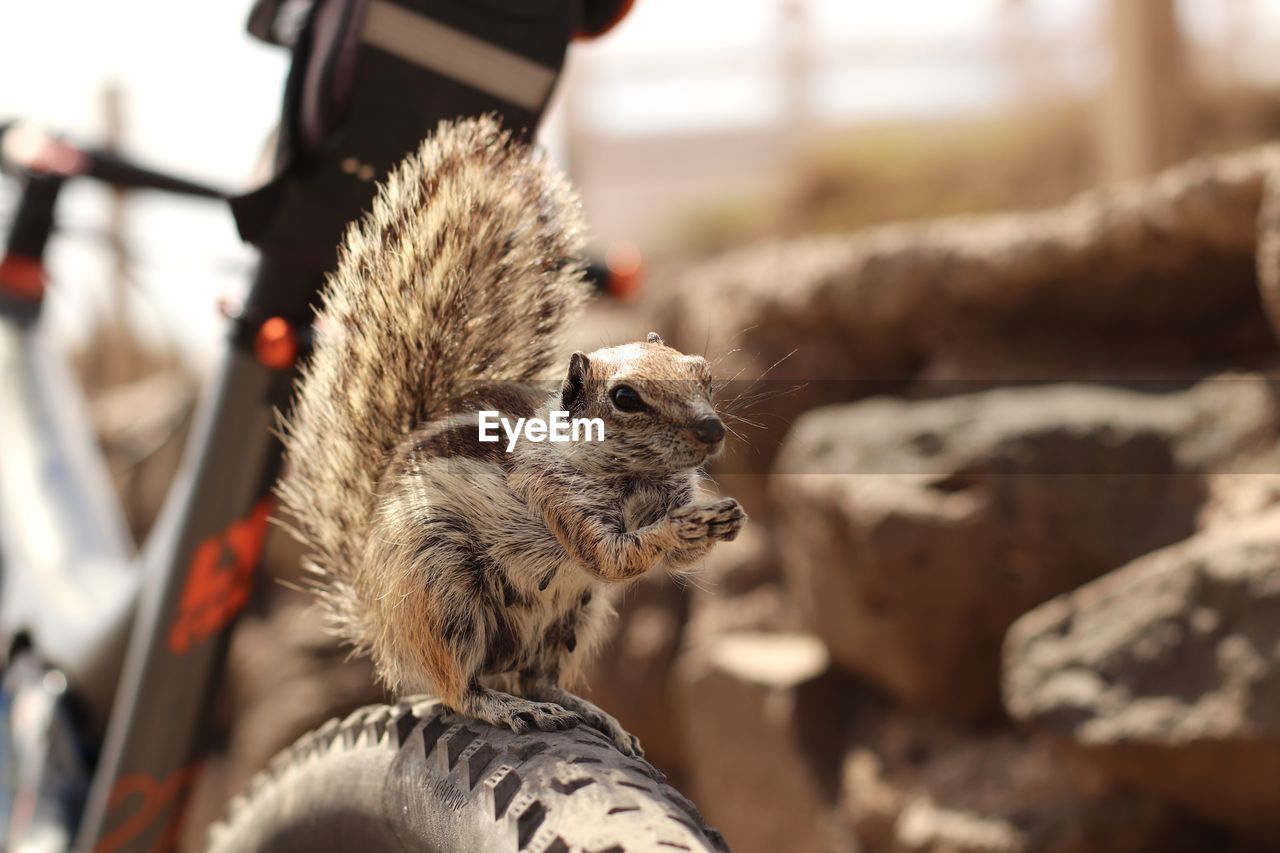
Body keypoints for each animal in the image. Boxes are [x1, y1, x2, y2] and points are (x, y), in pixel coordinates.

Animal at [275, 116, 747, 753]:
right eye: (625, 398)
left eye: (705, 373)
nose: (711, 428)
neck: (634, 482)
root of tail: (377, 617)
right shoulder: (553, 493)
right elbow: (614, 555)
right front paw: (684, 527)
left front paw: (722, 520)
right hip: (442, 591)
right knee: (461, 687)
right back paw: (508, 707)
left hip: (573, 617)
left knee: (536, 676)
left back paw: (590, 713)